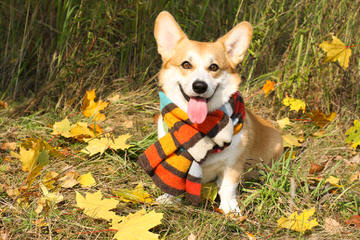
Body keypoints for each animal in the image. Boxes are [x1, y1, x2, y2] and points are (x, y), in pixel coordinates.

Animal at [153, 11, 282, 214]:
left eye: (213, 67)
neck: (200, 130)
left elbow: (228, 187)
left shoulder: (233, 165)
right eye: (186, 64)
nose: (199, 86)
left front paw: (230, 208)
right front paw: (169, 198)